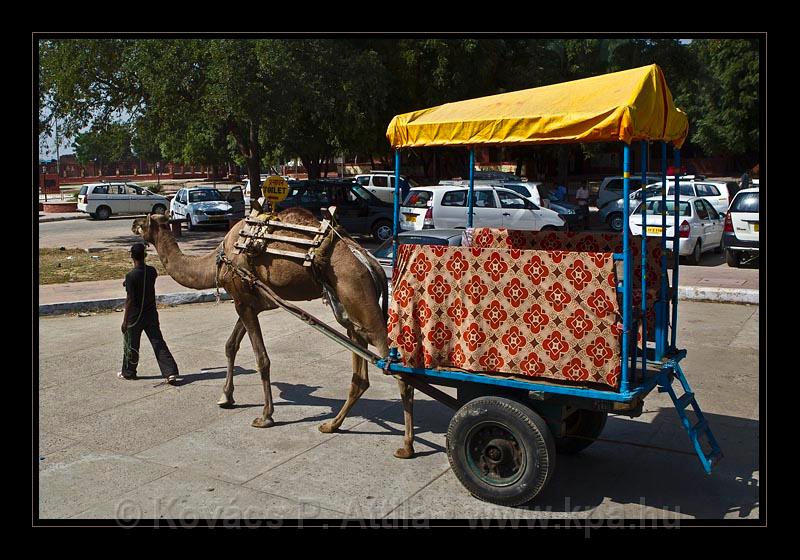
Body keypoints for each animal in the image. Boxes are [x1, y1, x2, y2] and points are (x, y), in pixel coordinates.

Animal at [132, 211, 416, 460]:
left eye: (145, 220)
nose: (133, 225)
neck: (220, 257)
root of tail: (373, 264)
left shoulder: (244, 302)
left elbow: (261, 358)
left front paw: (265, 416)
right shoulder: (247, 302)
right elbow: (230, 345)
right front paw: (226, 397)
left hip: (360, 298)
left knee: (396, 365)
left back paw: (406, 446)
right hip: (350, 312)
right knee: (361, 374)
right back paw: (332, 425)